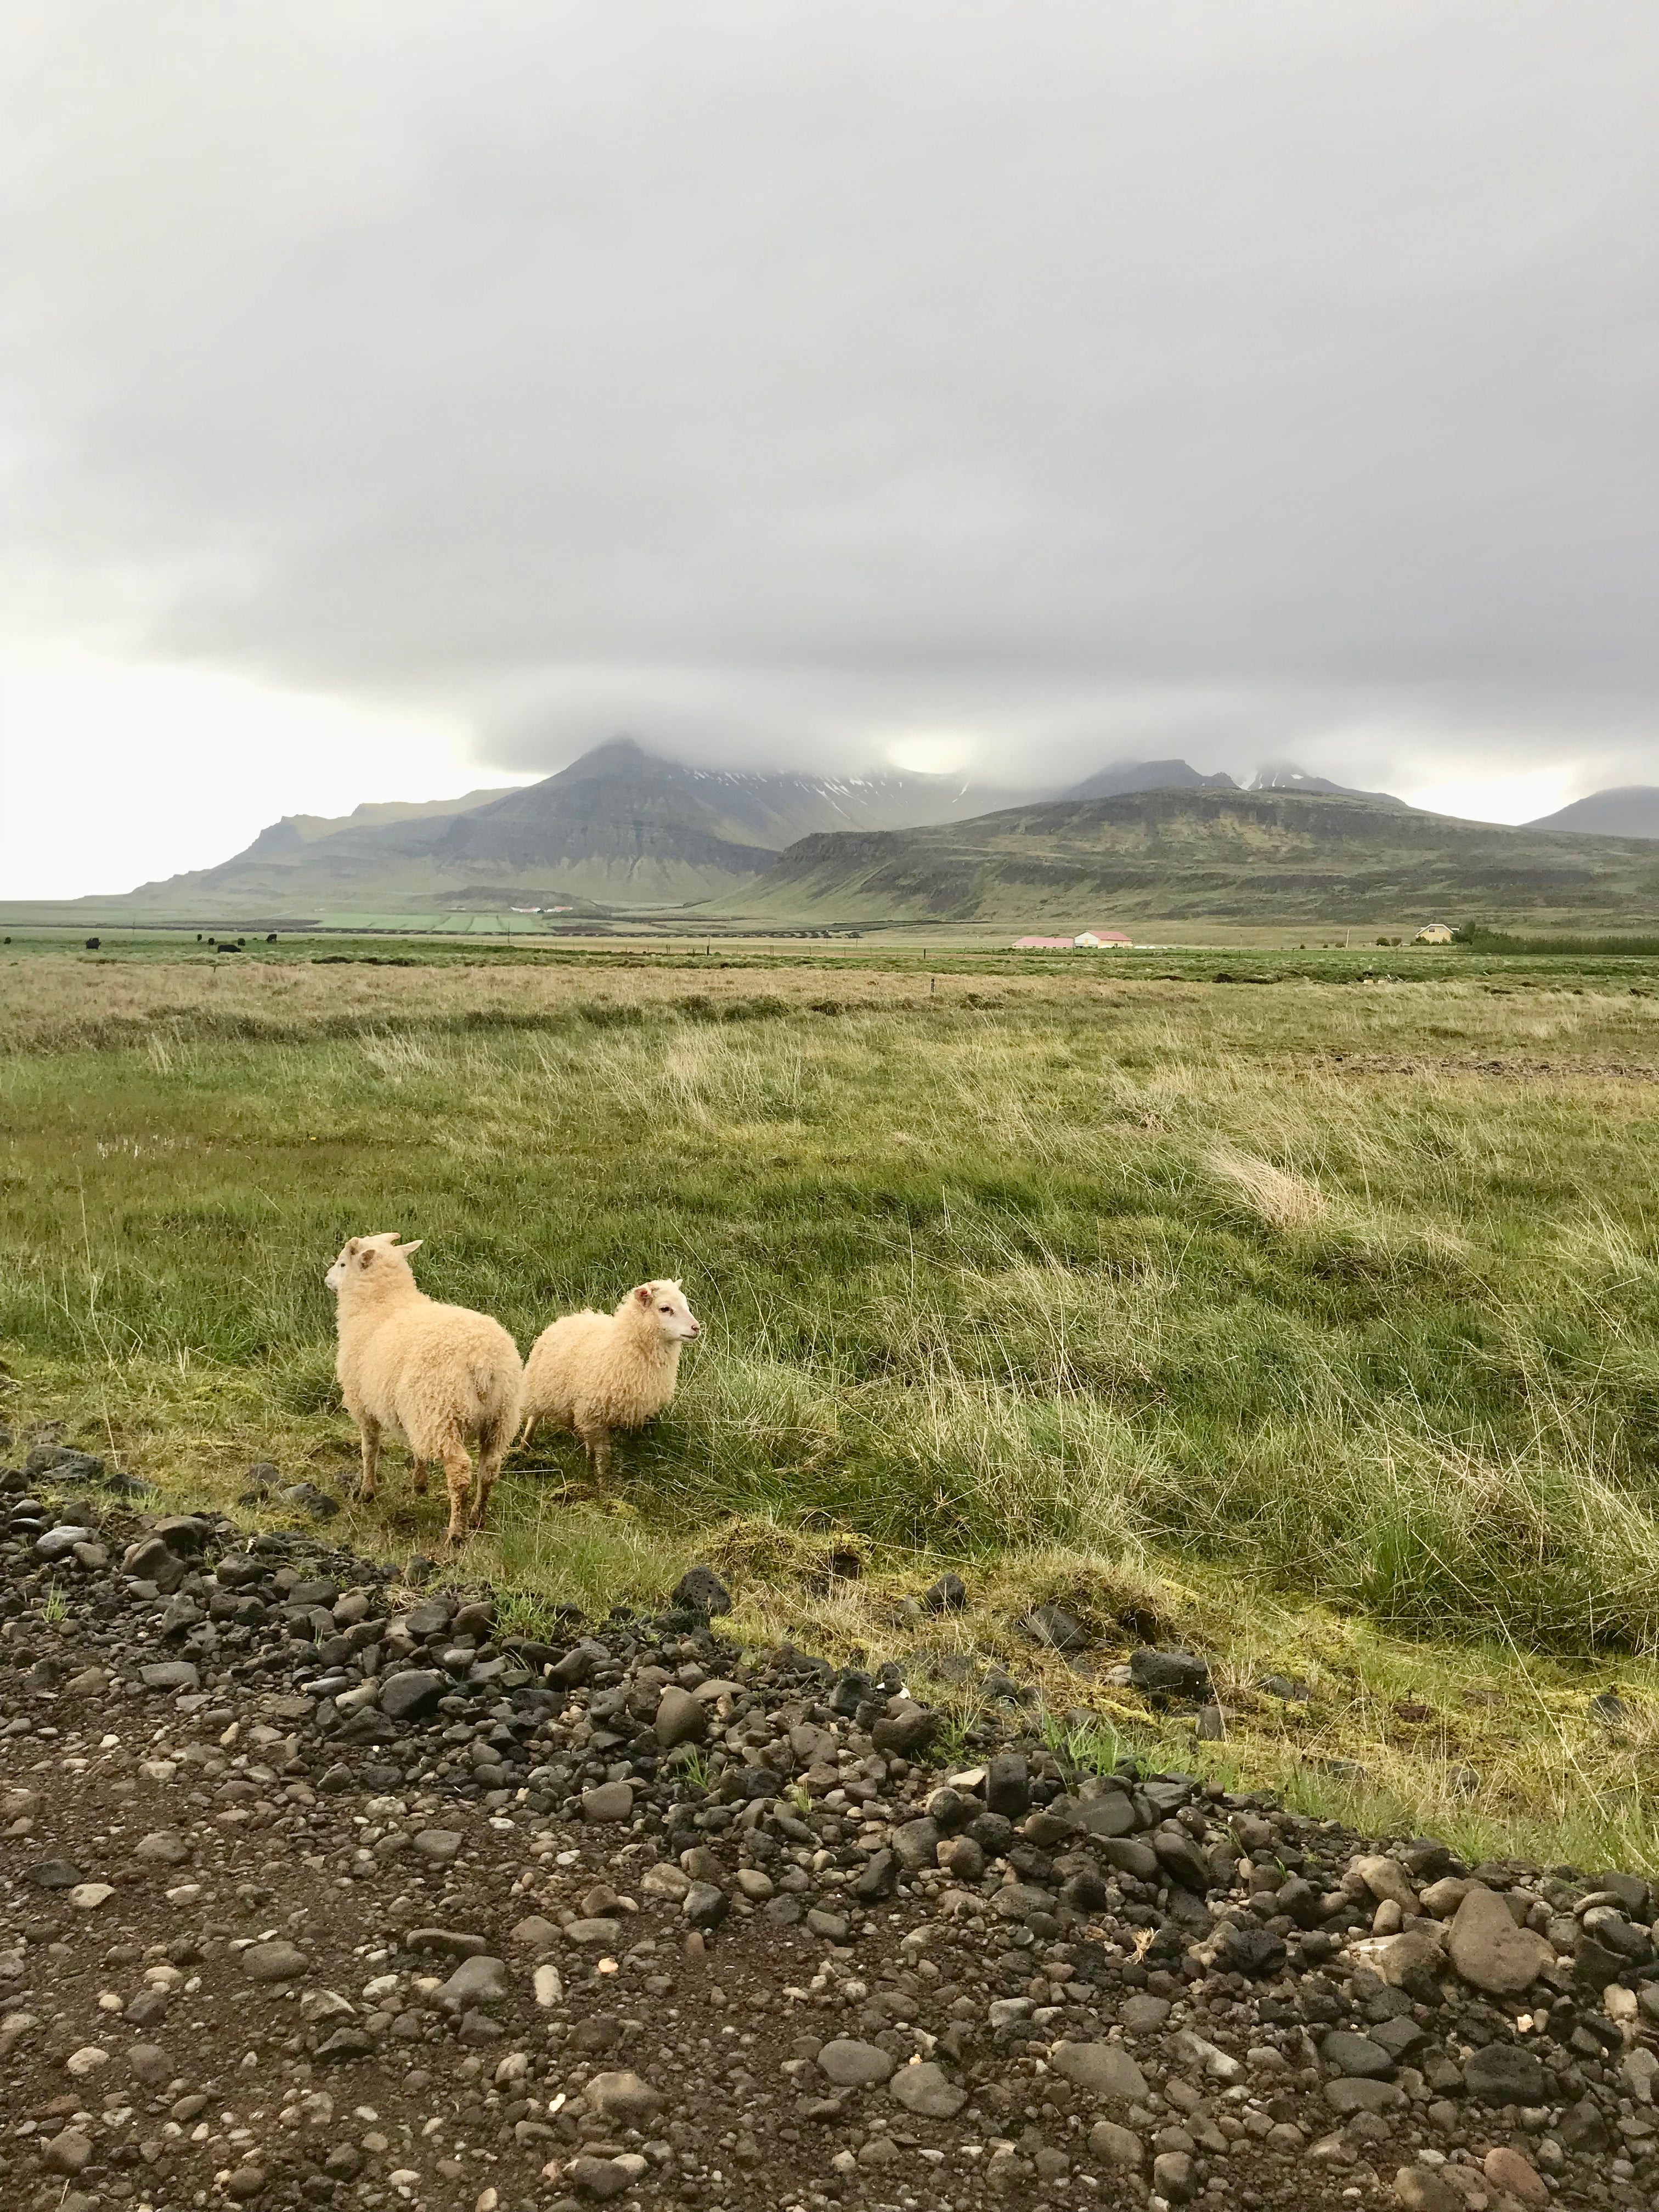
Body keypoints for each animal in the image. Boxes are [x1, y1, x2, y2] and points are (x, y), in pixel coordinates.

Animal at [327, 1238, 522, 1548]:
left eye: (343, 1263)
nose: (327, 1278)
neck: (382, 1303)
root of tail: (482, 1359)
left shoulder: (362, 1403)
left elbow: (370, 1448)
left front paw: (367, 1491)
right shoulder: (412, 1412)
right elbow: (417, 1449)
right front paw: (419, 1483)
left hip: (441, 1411)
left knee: (460, 1472)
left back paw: (456, 1532)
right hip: (500, 1416)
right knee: (490, 1469)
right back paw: (477, 1516)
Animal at [520, 1274, 703, 1477]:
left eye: (685, 1304)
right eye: (665, 1308)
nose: (696, 1328)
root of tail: (568, 1317)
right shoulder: (596, 1416)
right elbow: (604, 1456)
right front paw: (602, 1480)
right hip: (539, 1387)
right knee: (533, 1418)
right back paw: (524, 1447)